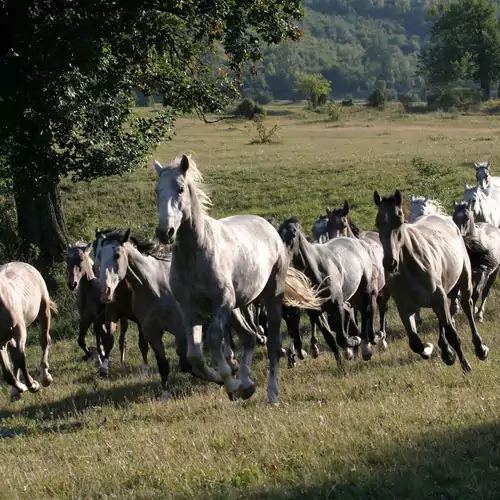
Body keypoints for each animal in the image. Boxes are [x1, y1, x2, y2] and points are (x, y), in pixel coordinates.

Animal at [0, 264, 54, 400]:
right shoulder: (0, 343)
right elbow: (7, 374)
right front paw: (20, 388)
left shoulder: (19, 331)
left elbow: (20, 359)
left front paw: (33, 386)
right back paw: (15, 392)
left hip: (44, 309)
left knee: (45, 340)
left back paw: (45, 377)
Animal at [154, 154, 322, 404]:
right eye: (157, 191)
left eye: (181, 188)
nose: (166, 232)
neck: (196, 254)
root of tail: (268, 226)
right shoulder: (190, 310)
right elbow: (195, 356)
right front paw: (229, 382)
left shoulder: (220, 304)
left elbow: (214, 339)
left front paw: (231, 384)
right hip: (235, 309)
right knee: (249, 337)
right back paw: (247, 383)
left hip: (269, 299)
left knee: (272, 345)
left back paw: (271, 393)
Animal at [376, 188, 488, 372]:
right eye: (378, 223)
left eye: (399, 221)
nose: (390, 263)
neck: (410, 269)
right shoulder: (405, 308)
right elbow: (414, 342)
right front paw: (429, 348)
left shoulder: (439, 297)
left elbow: (452, 334)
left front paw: (466, 365)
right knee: (441, 318)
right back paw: (446, 351)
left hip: (463, 281)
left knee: (467, 305)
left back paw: (479, 348)